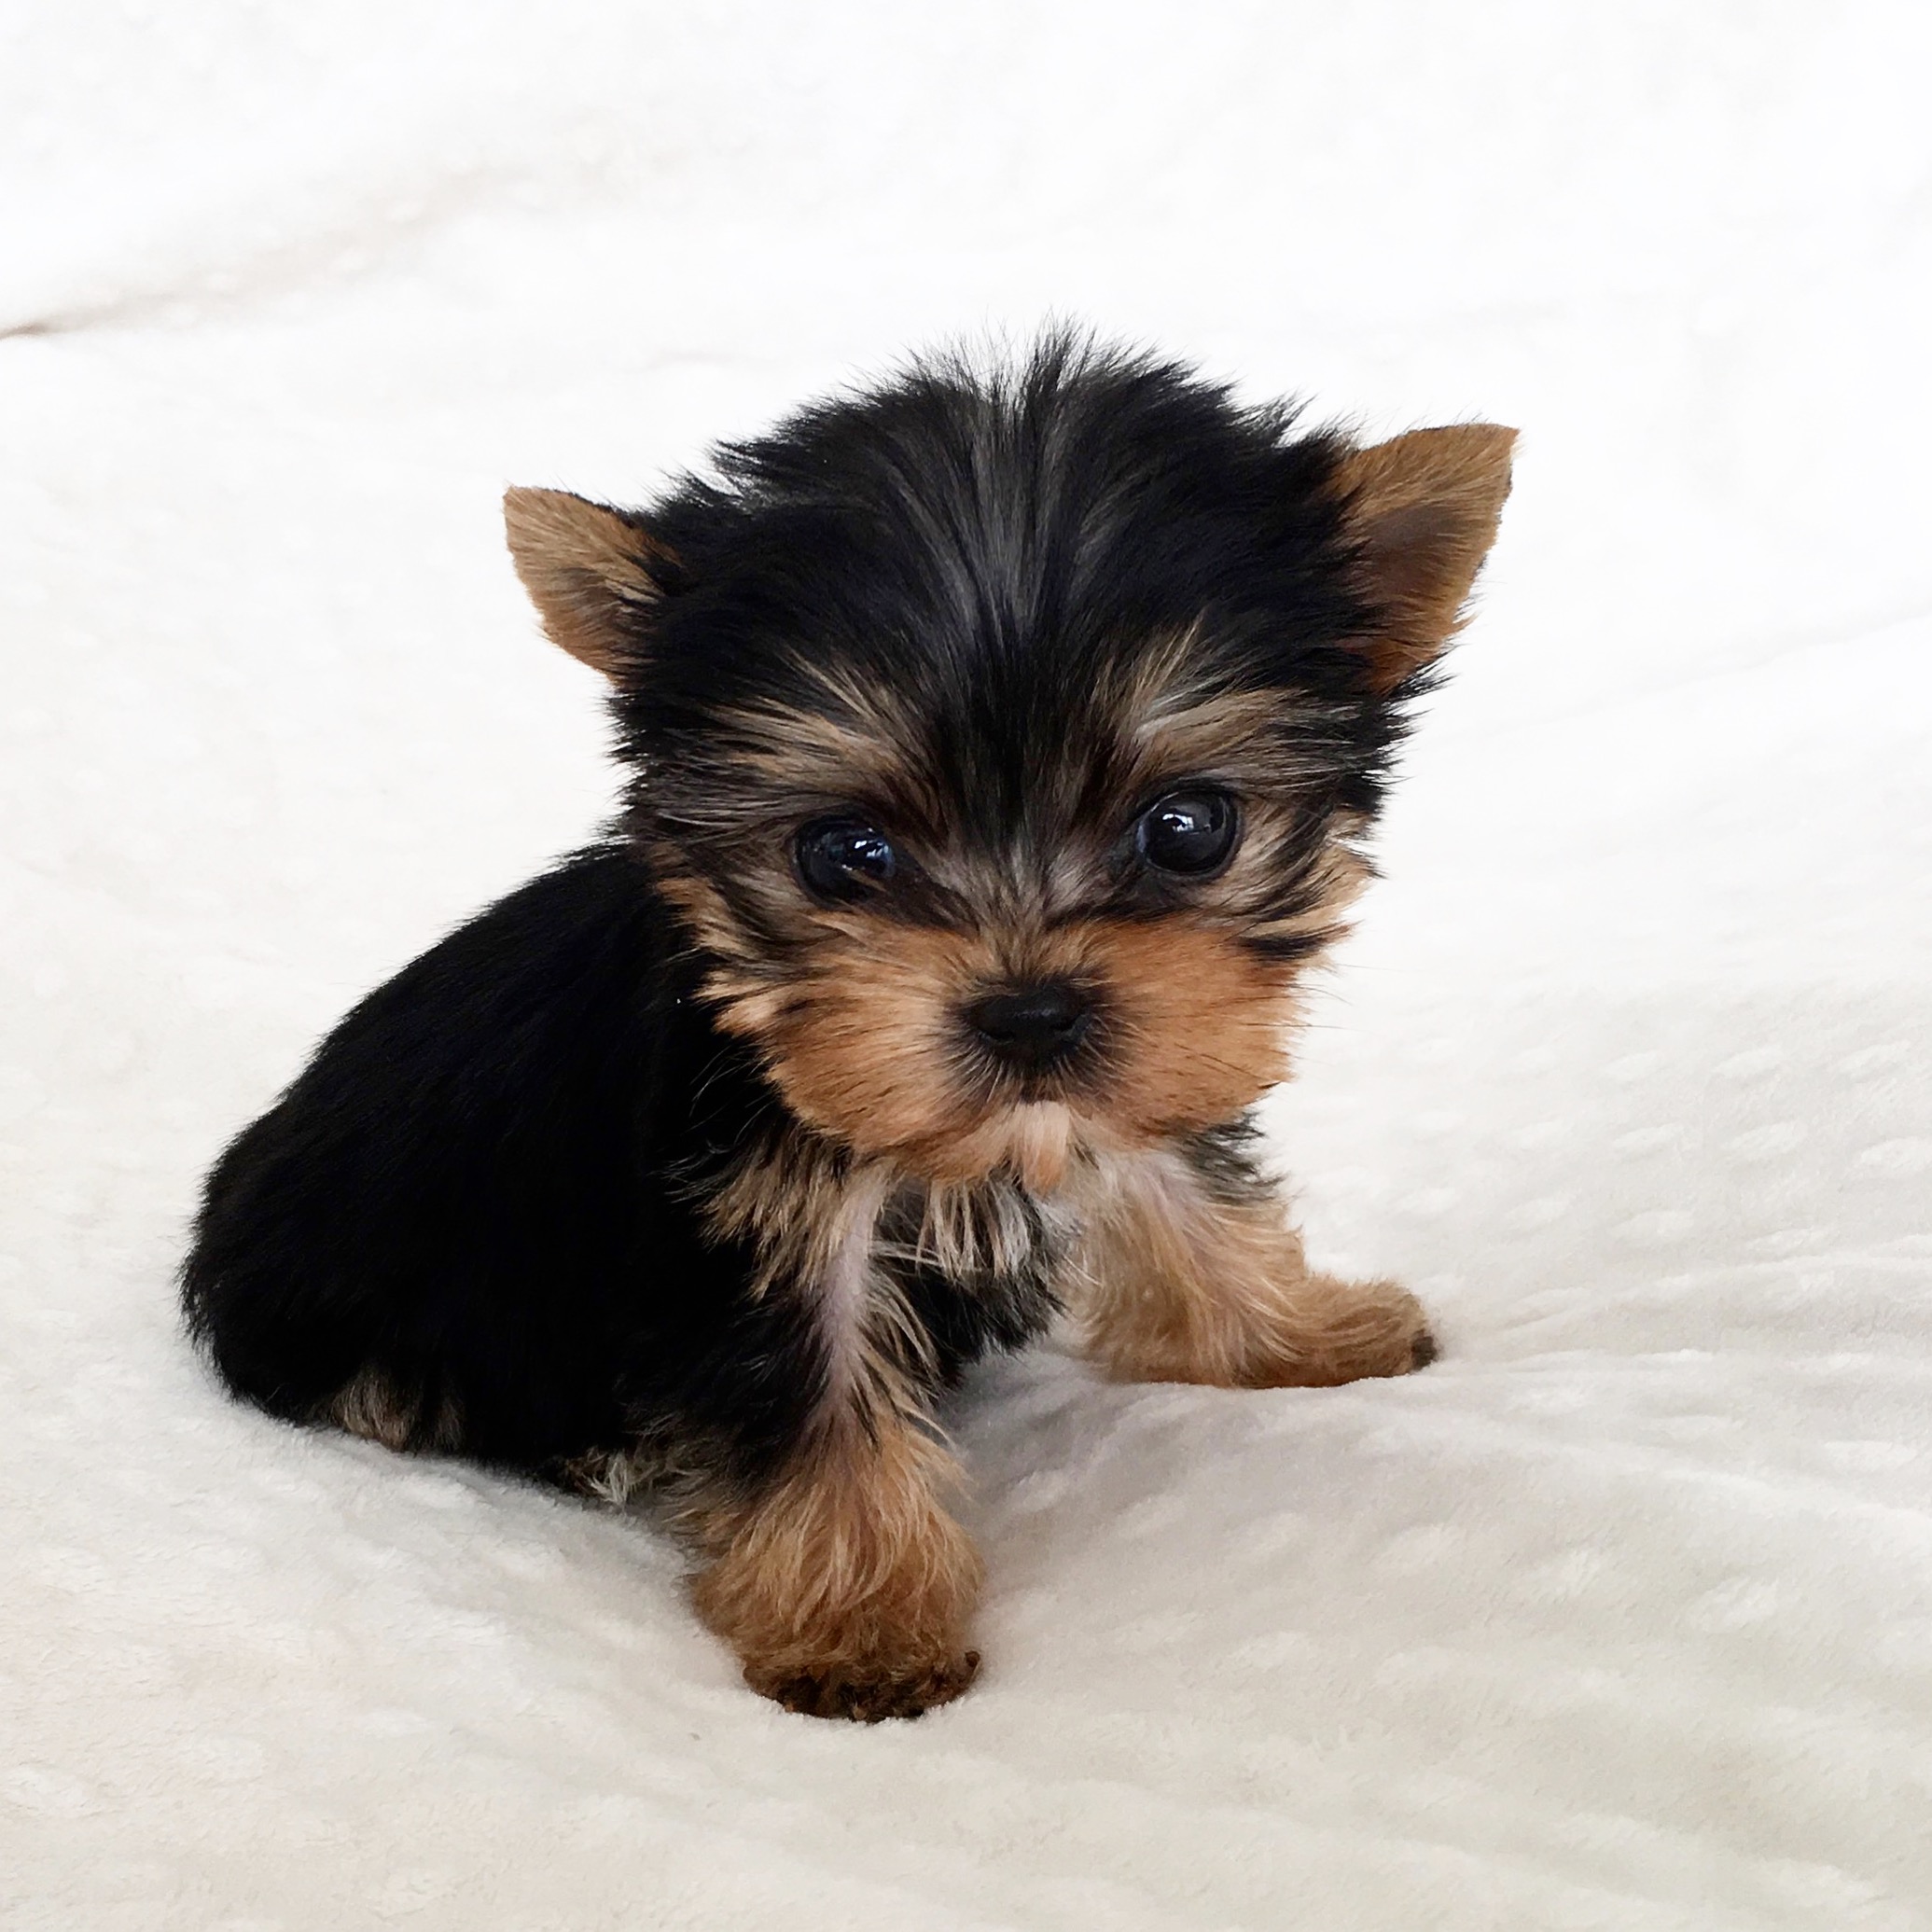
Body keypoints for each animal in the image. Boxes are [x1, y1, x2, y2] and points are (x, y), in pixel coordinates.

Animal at [181, 336, 1514, 1723]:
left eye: (1187, 827)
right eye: (842, 851)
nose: (1030, 1011)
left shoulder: (1132, 1076)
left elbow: (1183, 1190)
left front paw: (1293, 1331)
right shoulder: (749, 1220)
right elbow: (809, 1400)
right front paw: (859, 1620)